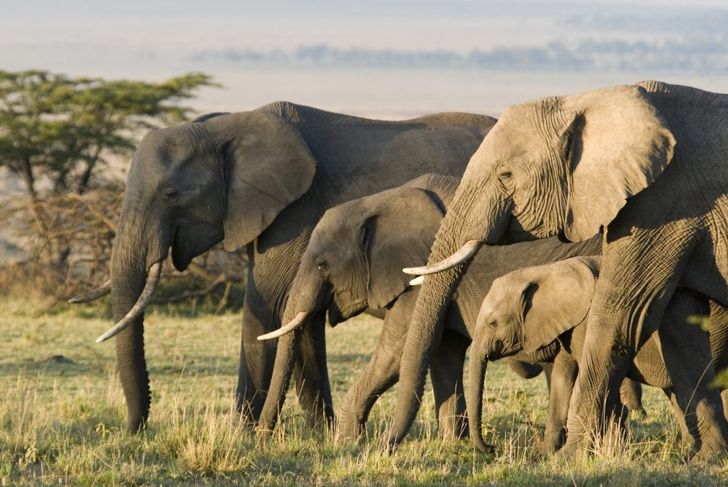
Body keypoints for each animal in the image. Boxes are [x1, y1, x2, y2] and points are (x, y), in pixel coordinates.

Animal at [80, 102, 498, 432]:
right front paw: (319, 433)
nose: (132, 429)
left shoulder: (294, 213)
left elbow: (269, 306)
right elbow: (301, 319)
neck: (227, 126)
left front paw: (242, 435)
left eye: (170, 194)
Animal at [256, 174, 643, 437]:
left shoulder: (420, 279)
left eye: (323, 265)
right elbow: (444, 355)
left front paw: (347, 441)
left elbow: (396, 354)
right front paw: (452, 444)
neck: (380, 202)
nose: (264, 434)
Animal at [467, 256, 728, 459]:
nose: (492, 448)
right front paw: (543, 455)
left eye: (493, 323)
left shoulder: (587, 323)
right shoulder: (568, 325)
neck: (546, 271)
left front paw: (611, 453)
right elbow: (563, 379)